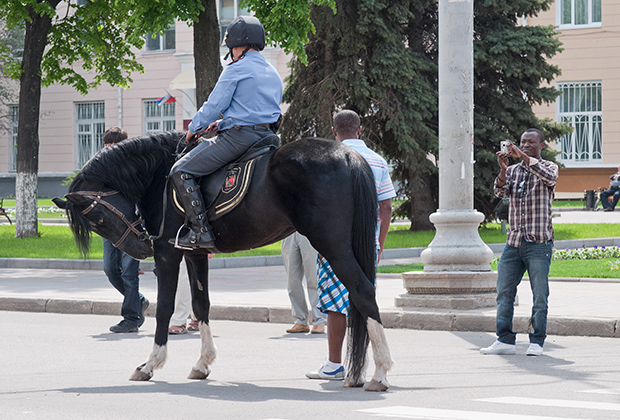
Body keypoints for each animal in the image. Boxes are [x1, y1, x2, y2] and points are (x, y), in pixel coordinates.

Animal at [53, 130, 392, 390]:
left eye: (97, 218)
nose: (138, 250)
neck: (160, 174)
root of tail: (349, 155)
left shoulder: (167, 251)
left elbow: (164, 308)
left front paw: (150, 364)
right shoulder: (195, 253)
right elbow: (201, 304)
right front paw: (202, 363)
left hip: (334, 247)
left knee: (363, 292)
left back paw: (380, 371)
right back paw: (361, 373)